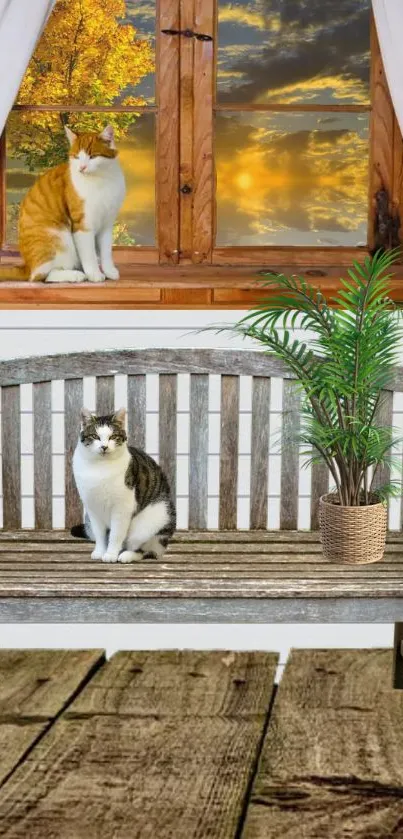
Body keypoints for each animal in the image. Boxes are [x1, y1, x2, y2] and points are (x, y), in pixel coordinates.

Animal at [0, 123, 124, 284]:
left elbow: (106, 251)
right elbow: (89, 253)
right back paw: (75, 275)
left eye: (92, 156)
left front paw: (109, 270)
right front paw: (94, 274)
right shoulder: (82, 224)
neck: (101, 179)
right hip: (59, 238)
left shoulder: (107, 224)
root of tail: (27, 266)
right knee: (41, 276)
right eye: (77, 157)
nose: (82, 167)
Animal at [72, 408, 176, 564]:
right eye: (95, 436)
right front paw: (100, 551)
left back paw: (127, 555)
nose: (104, 447)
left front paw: (110, 554)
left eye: (113, 436)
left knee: (147, 550)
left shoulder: (122, 508)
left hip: (153, 522)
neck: (100, 467)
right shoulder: (92, 508)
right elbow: (99, 534)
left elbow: (116, 535)